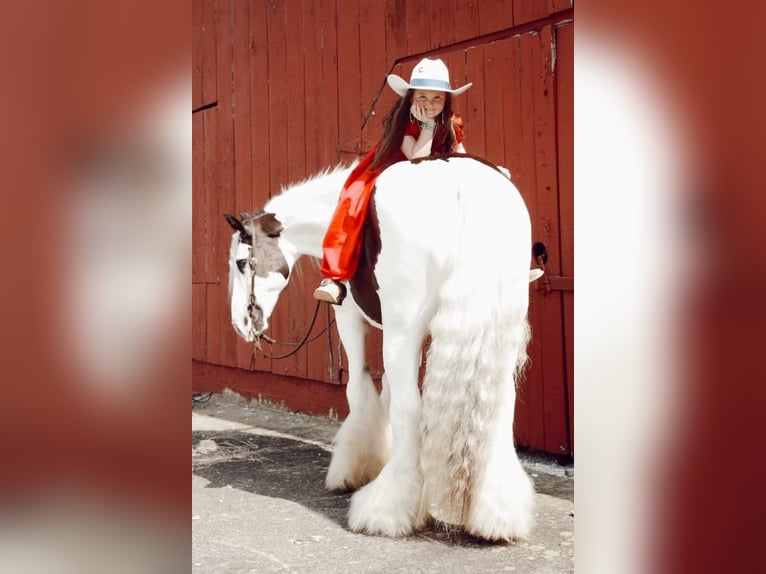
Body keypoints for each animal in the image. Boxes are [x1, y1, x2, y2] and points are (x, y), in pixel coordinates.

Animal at [225, 155, 536, 544]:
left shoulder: (349, 317)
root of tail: (461, 182)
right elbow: (385, 388)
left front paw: (354, 466)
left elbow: (359, 388)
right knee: (500, 405)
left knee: (410, 408)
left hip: (405, 328)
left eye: (241, 263)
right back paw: (498, 515)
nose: (241, 322)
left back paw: (386, 510)